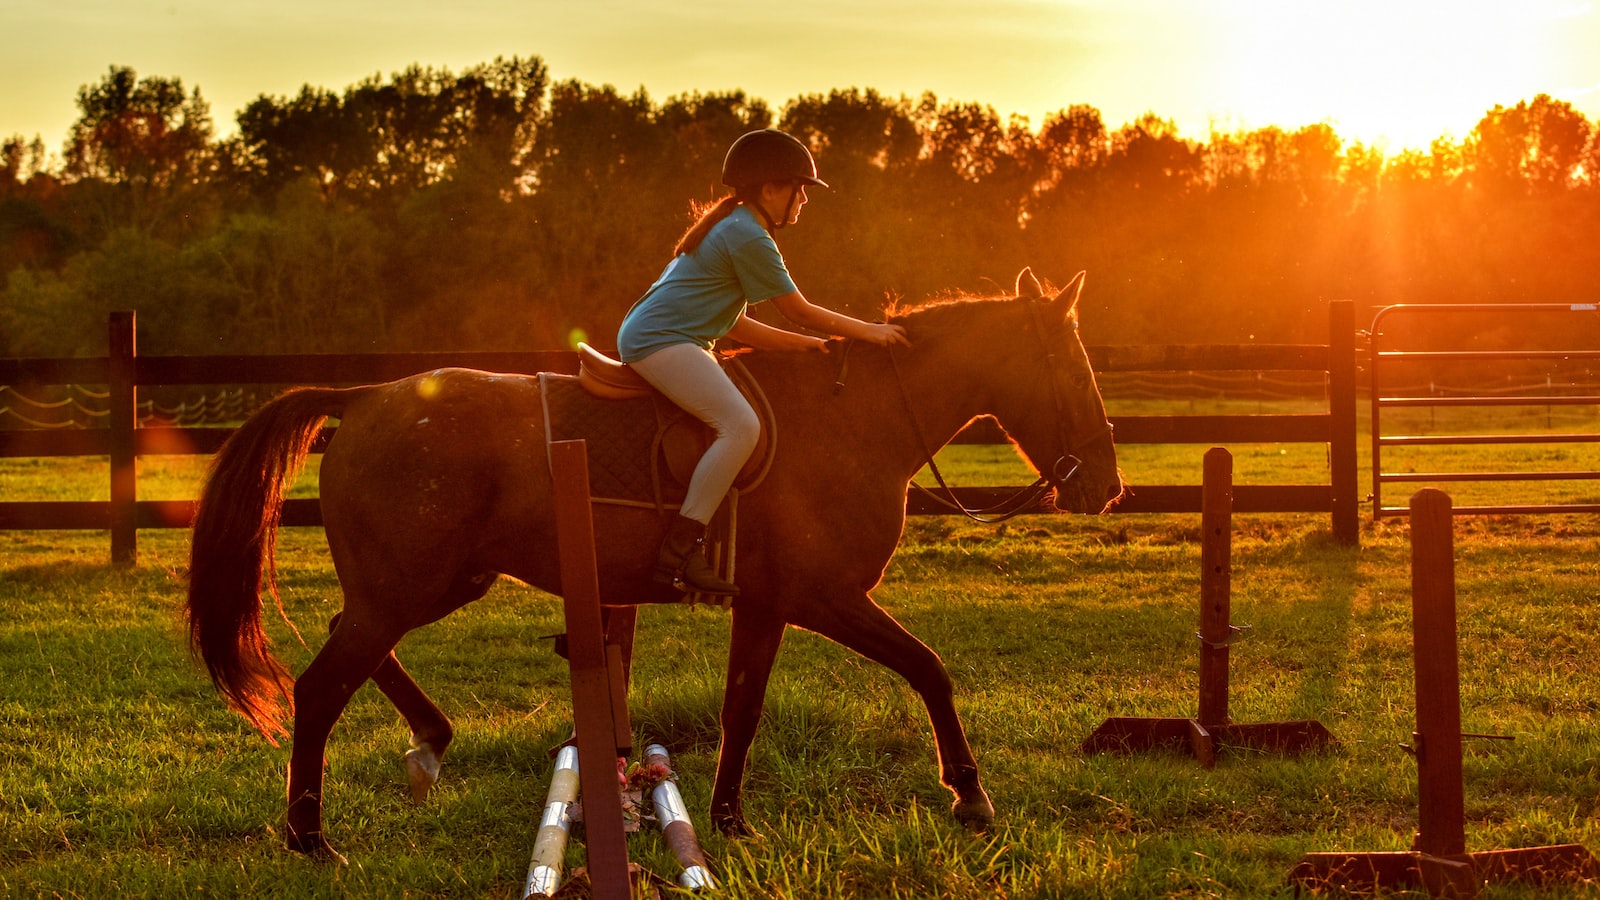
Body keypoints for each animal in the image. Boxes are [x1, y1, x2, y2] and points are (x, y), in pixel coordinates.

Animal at [181, 264, 1120, 851]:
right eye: (1075, 371)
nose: (1107, 486)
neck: (855, 423)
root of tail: (368, 395)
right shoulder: (824, 595)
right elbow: (928, 668)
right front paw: (971, 794)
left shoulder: (767, 603)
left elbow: (744, 708)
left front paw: (729, 820)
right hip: (408, 587)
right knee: (320, 687)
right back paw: (312, 839)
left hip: (428, 583)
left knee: (352, 649)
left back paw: (428, 746)